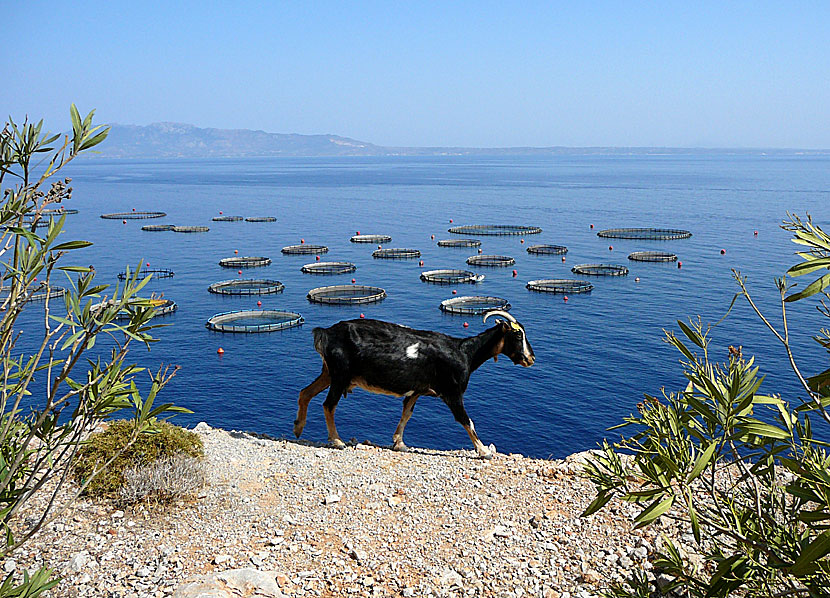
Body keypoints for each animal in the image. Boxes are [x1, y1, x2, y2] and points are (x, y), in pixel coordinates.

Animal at [296, 310, 536, 460]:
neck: (465, 353)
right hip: (341, 374)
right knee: (329, 405)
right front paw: (484, 451)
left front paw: (399, 443)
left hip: (329, 373)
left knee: (305, 392)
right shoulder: (452, 392)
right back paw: (336, 440)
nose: (530, 358)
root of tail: (325, 333)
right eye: (517, 335)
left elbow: (407, 414)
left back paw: (298, 428)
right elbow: (467, 421)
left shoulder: (417, 391)